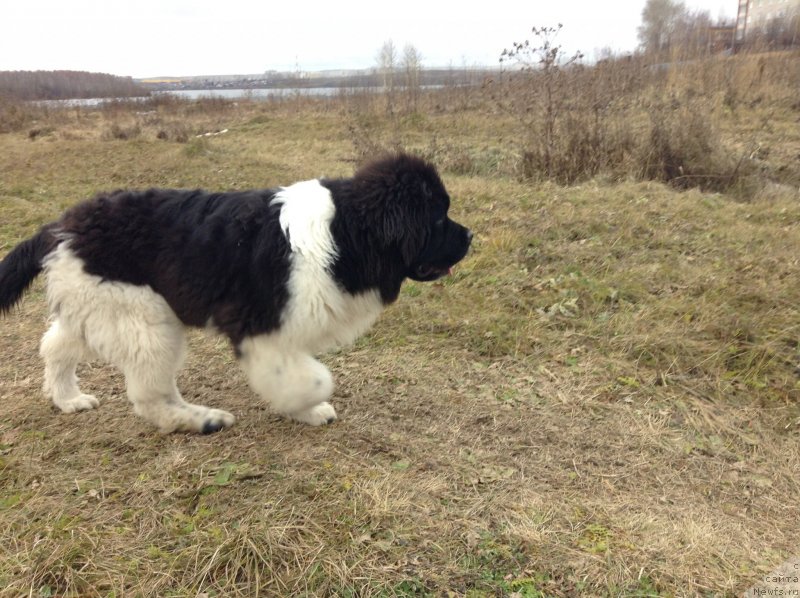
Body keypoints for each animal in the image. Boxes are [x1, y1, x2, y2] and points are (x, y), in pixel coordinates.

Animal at [0, 155, 472, 436]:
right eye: (438, 217)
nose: (470, 236)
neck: (346, 232)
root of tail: (62, 227)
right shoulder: (260, 327)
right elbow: (314, 377)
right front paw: (305, 403)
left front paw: (304, 411)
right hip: (145, 319)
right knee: (150, 395)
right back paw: (202, 420)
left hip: (99, 304)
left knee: (56, 346)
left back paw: (67, 399)